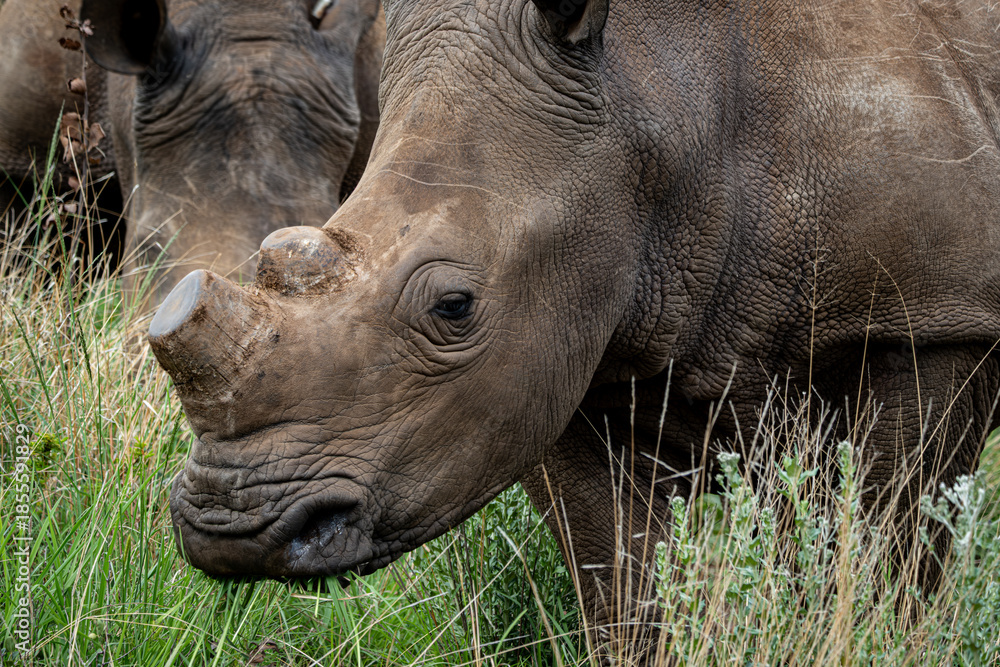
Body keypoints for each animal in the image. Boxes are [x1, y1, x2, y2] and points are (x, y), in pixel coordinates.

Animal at [149, 0, 1000, 630]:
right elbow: (623, 585)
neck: (657, 96)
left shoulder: (929, 318)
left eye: (454, 306)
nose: (231, 524)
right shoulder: (558, 350)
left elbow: (889, 553)